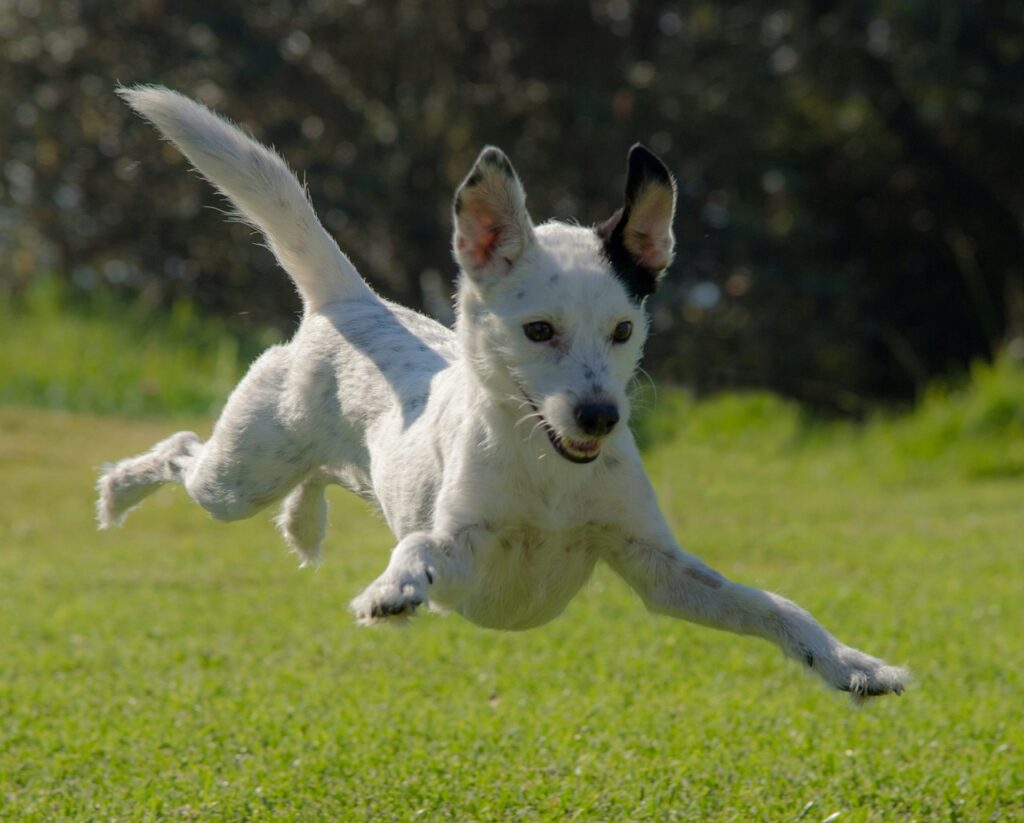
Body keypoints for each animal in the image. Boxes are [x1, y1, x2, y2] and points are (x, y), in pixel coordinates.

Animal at [99, 87, 909, 696]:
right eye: (539, 330)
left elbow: (775, 606)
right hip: (239, 475)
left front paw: (851, 664)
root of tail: (350, 303)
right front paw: (393, 589)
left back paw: (303, 521)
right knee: (181, 450)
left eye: (623, 330)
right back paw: (119, 492)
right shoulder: (466, 550)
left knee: (313, 478)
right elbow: (420, 545)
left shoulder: (659, 569)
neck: (549, 473)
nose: (600, 416)